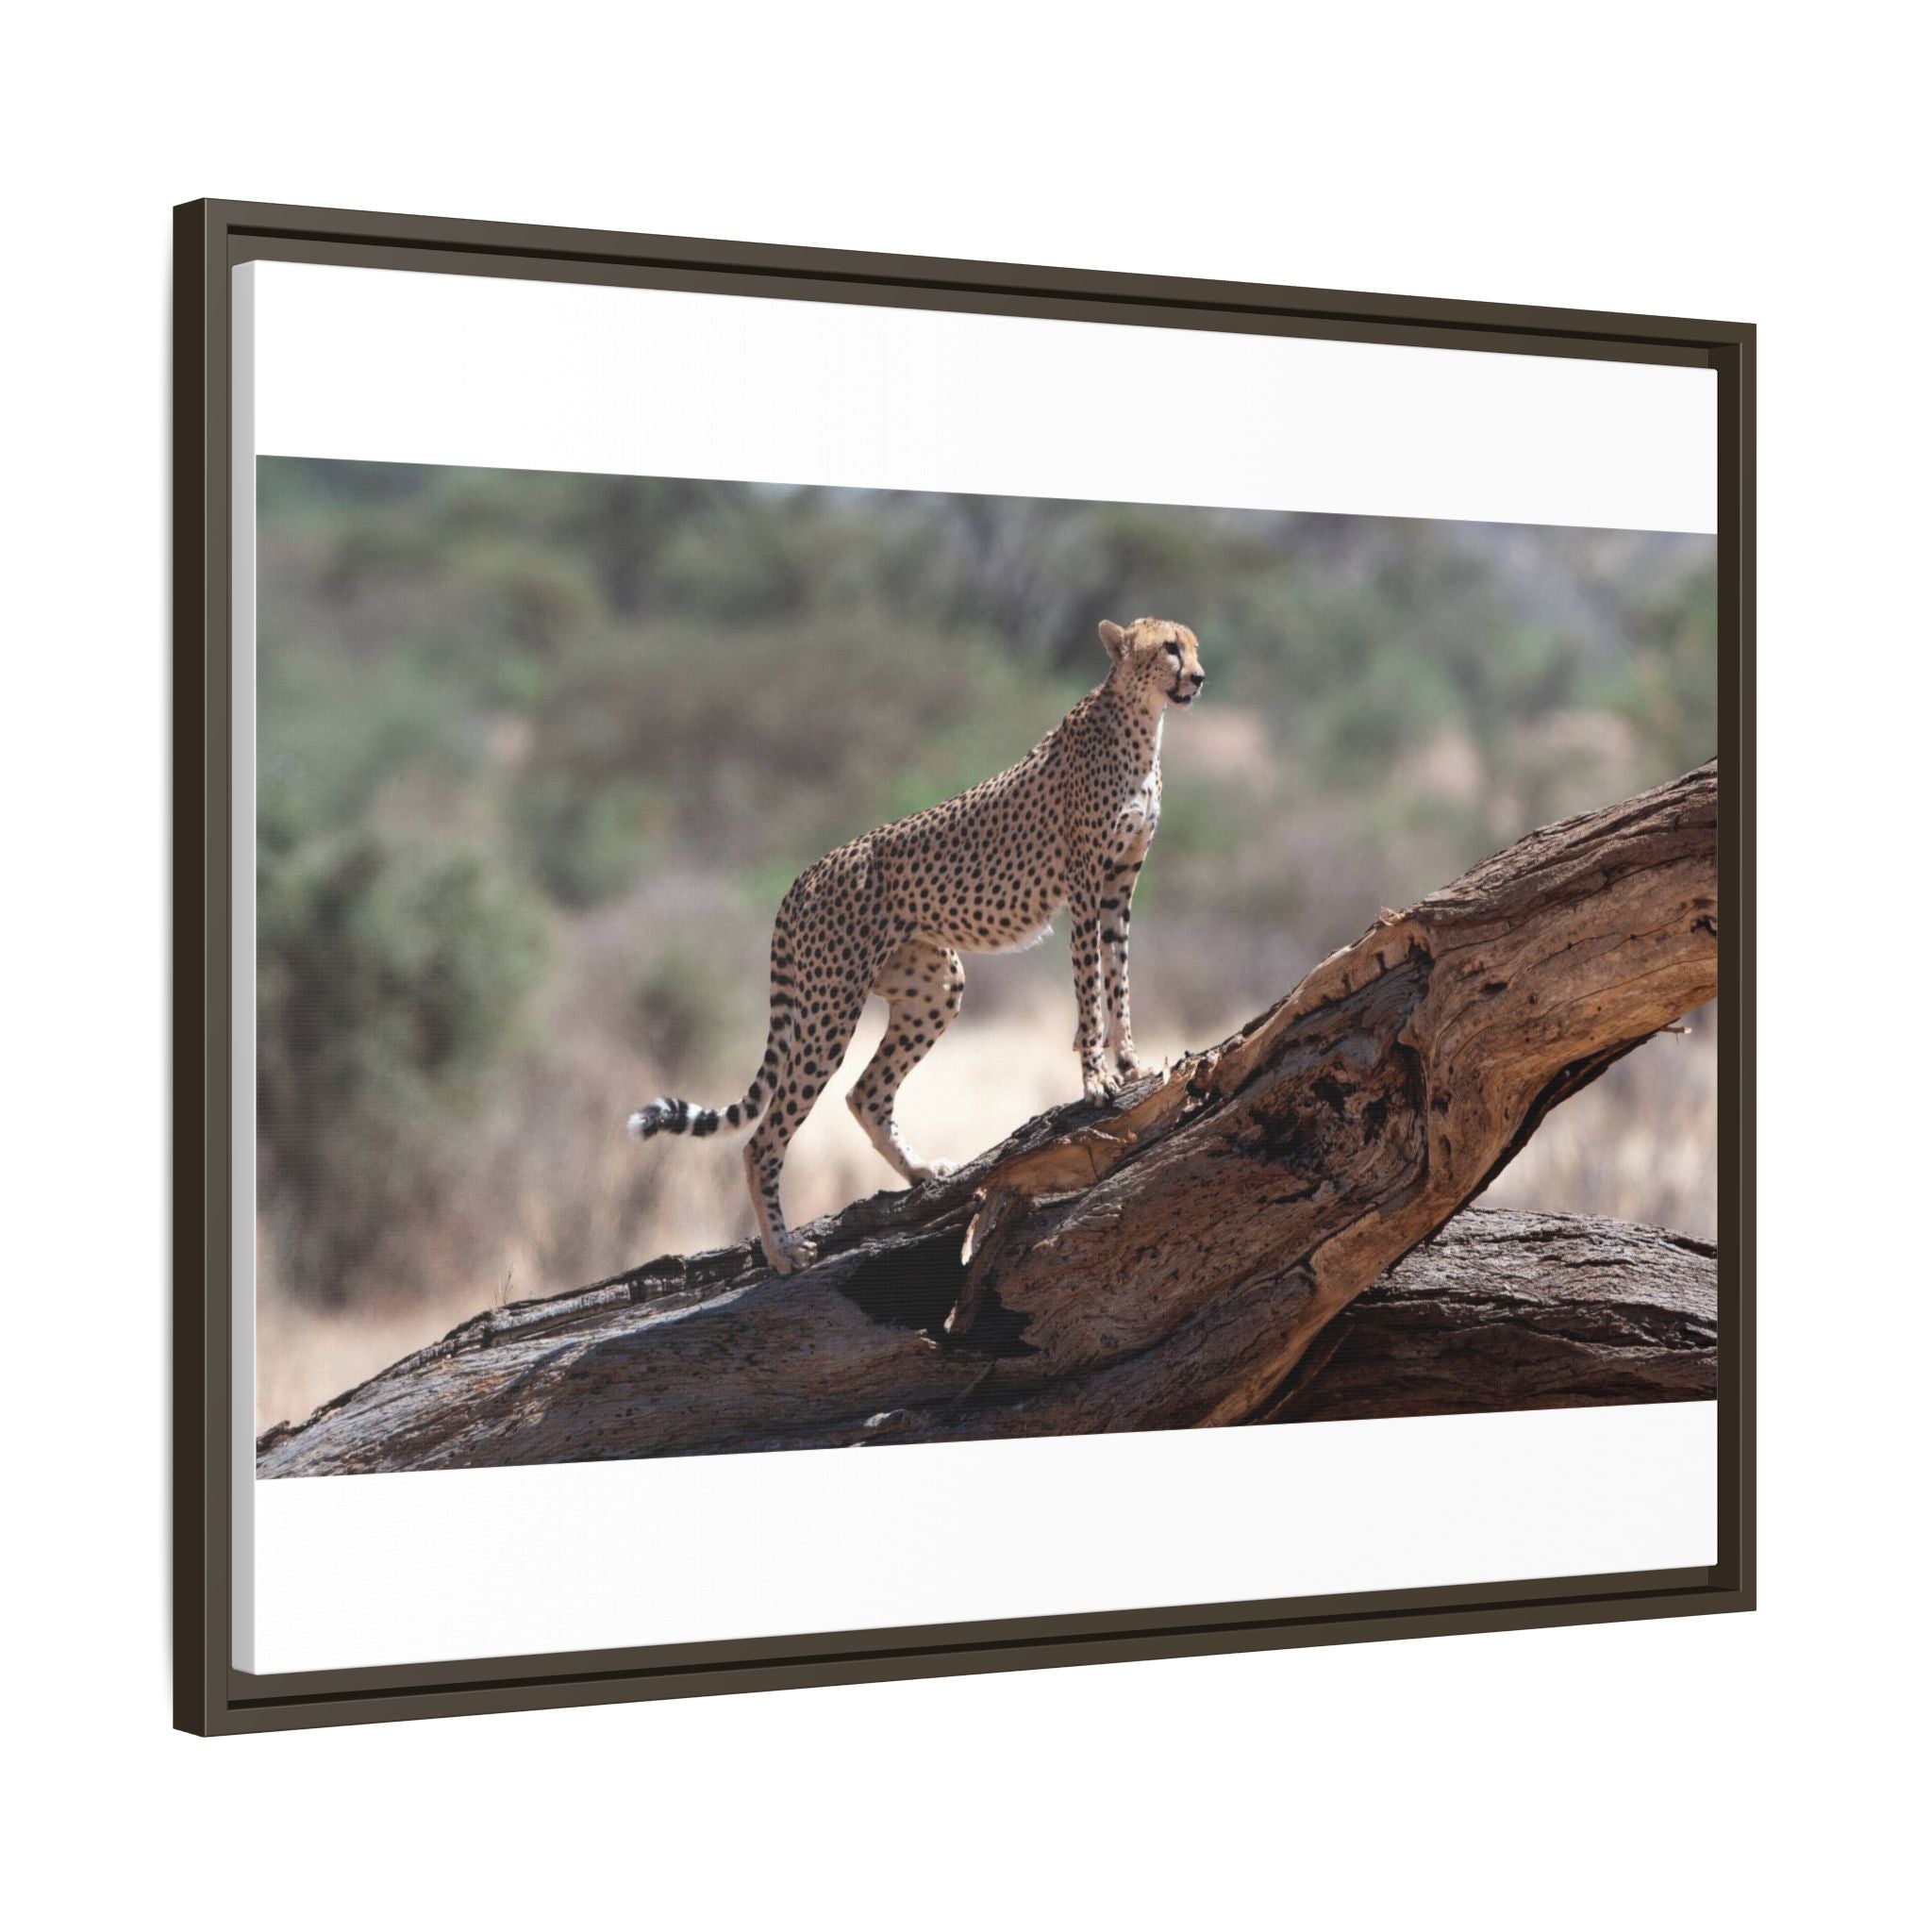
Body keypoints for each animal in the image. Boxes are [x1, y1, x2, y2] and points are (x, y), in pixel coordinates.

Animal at [627, 616, 1207, 1273]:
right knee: (764, 1136)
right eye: (1169, 648)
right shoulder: (1084, 885)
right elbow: (1090, 988)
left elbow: (1119, 977)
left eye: (1193, 646)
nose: (1198, 677)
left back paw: (921, 1172)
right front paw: (1096, 1079)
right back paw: (782, 1250)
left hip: (934, 986)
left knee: (865, 1093)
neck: (1141, 722)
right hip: (829, 1008)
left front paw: (1131, 1062)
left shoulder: (1119, 886)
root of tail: (804, 875)